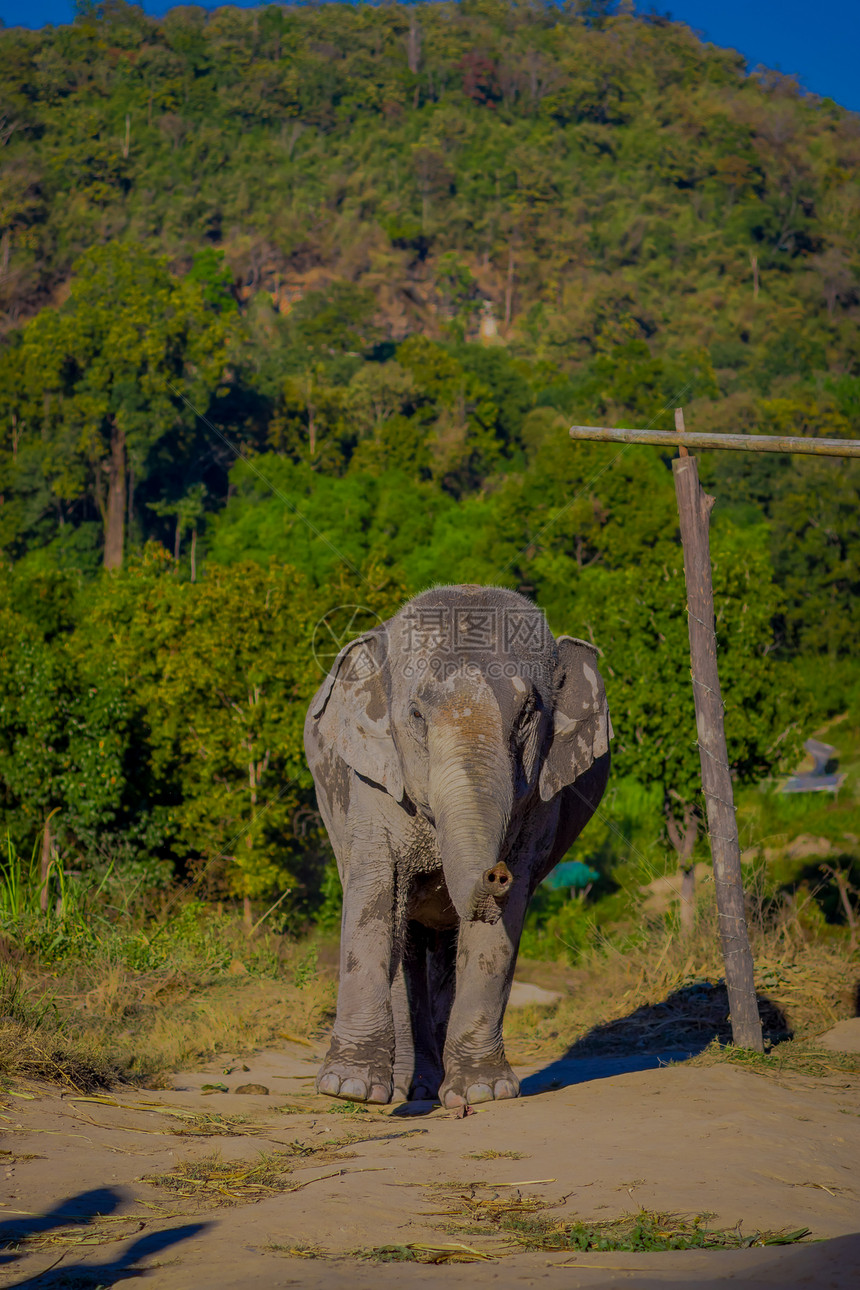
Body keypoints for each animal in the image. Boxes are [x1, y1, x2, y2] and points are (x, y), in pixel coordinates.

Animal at [302, 585, 611, 1109]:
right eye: (416, 716)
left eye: (527, 716)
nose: (495, 872)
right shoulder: (372, 781)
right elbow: (376, 896)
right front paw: (349, 1089)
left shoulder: (538, 806)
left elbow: (499, 927)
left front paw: (483, 1092)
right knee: (406, 941)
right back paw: (409, 1088)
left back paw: (434, 1085)